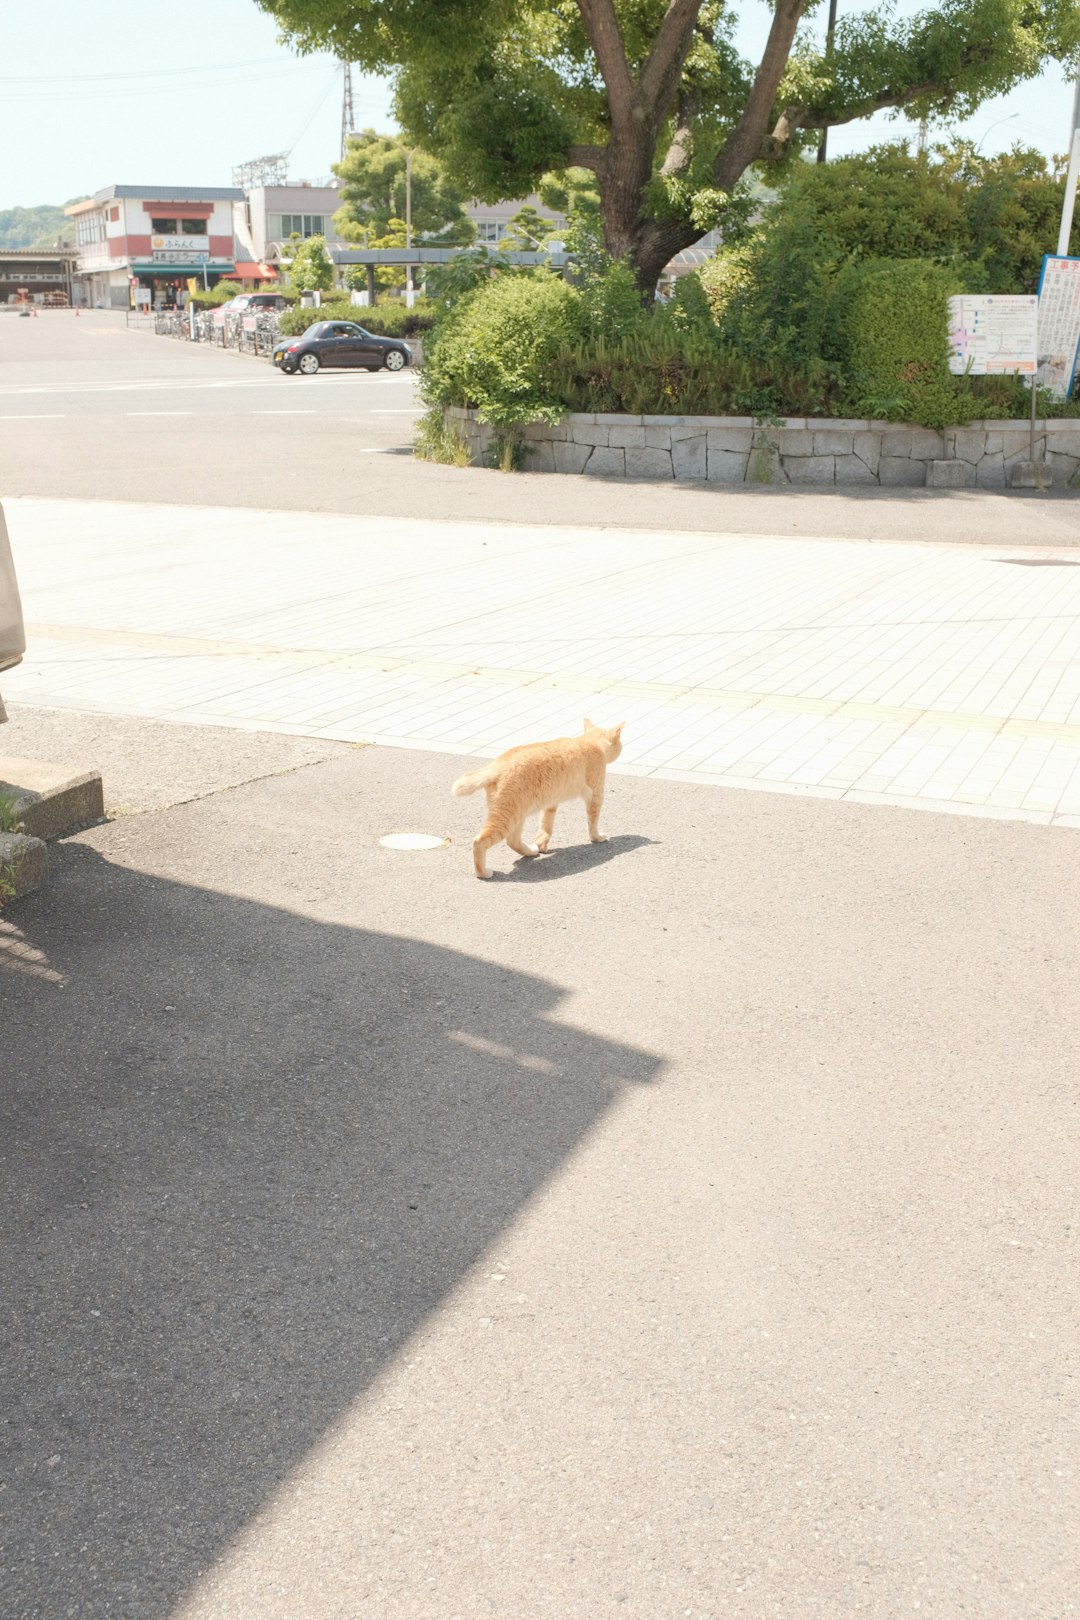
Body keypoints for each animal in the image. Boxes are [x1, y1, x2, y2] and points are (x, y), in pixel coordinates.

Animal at [453, 716, 625, 881]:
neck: (588, 740)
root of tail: (495, 765)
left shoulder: (551, 802)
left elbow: (546, 825)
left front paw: (542, 843)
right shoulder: (596, 795)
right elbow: (593, 822)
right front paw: (597, 837)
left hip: (516, 814)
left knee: (512, 840)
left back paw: (530, 851)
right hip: (506, 818)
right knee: (480, 842)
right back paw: (483, 872)